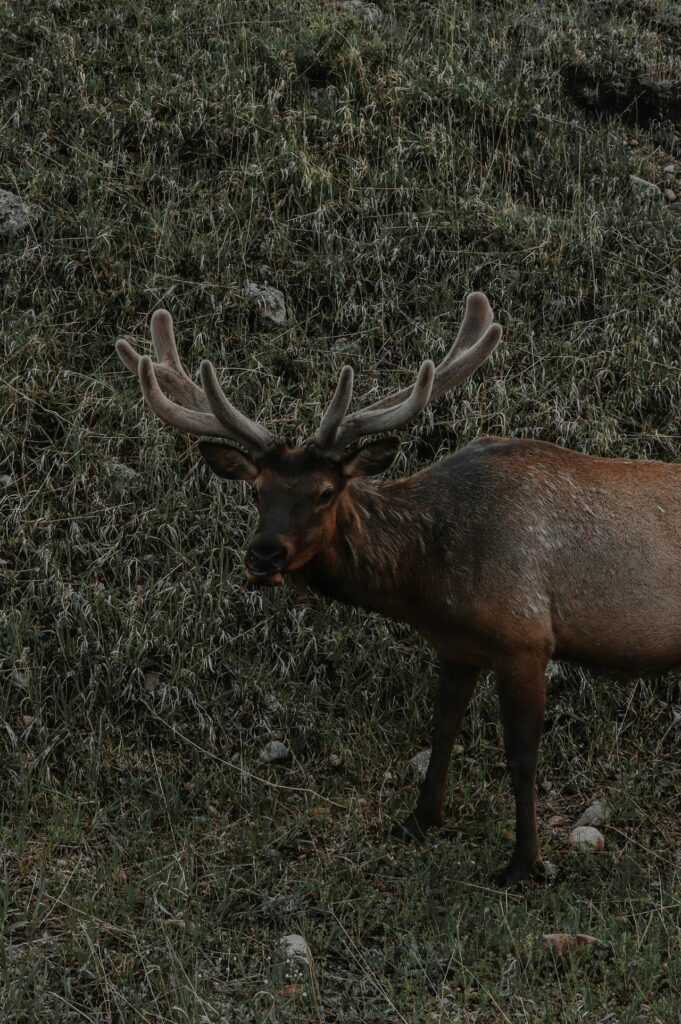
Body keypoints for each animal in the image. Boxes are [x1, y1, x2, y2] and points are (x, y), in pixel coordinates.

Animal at [116, 292, 681, 885]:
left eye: (325, 491)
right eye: (257, 490)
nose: (263, 555)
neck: (431, 580)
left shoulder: (525, 636)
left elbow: (521, 755)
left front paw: (522, 863)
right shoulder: (459, 645)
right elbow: (442, 727)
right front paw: (419, 819)